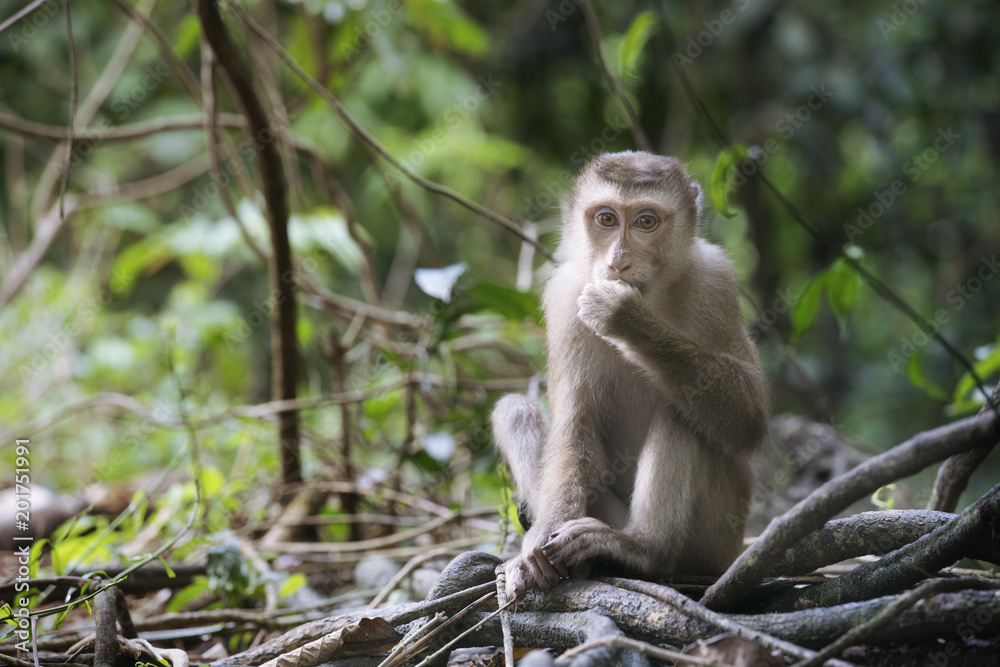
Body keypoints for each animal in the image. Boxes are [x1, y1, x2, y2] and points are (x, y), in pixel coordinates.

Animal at [490, 153, 764, 600]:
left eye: (646, 222)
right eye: (606, 218)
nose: (618, 262)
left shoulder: (716, 280)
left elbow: (750, 417)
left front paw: (626, 317)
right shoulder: (566, 297)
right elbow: (575, 422)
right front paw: (539, 539)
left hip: (714, 542)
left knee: (683, 409)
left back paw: (641, 550)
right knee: (514, 410)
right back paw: (589, 560)